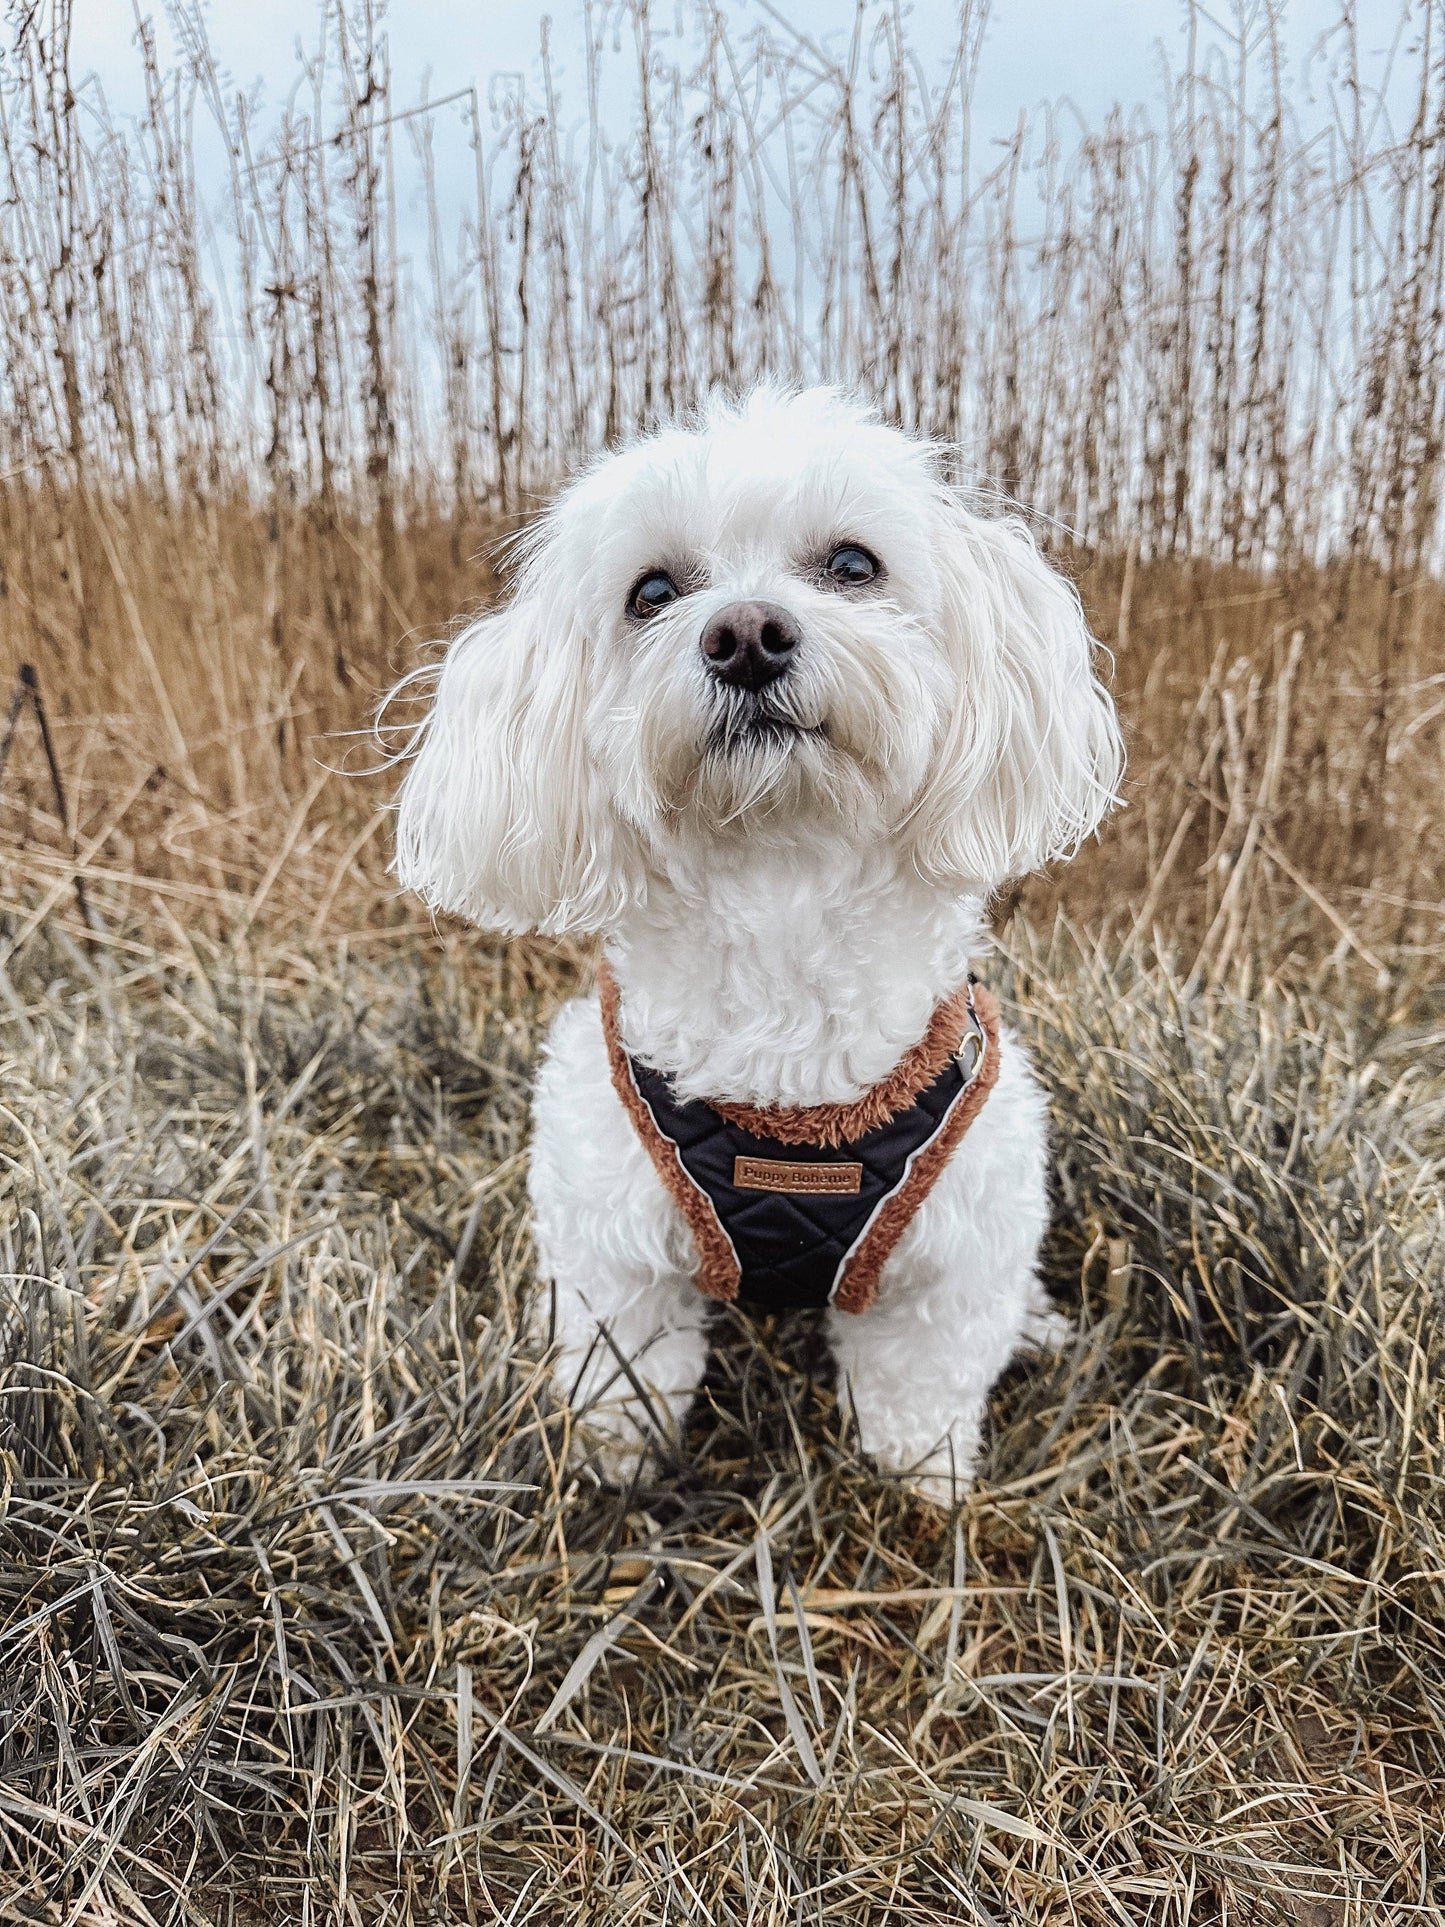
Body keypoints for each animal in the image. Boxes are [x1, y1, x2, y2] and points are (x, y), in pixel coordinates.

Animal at [396, 387, 1132, 1503]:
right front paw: (615, 1470)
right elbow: (623, 1379)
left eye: (853, 564)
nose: (745, 634)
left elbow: (921, 1392)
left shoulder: (949, 1265)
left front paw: (926, 1488)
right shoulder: (614, 1256)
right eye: (652, 592)